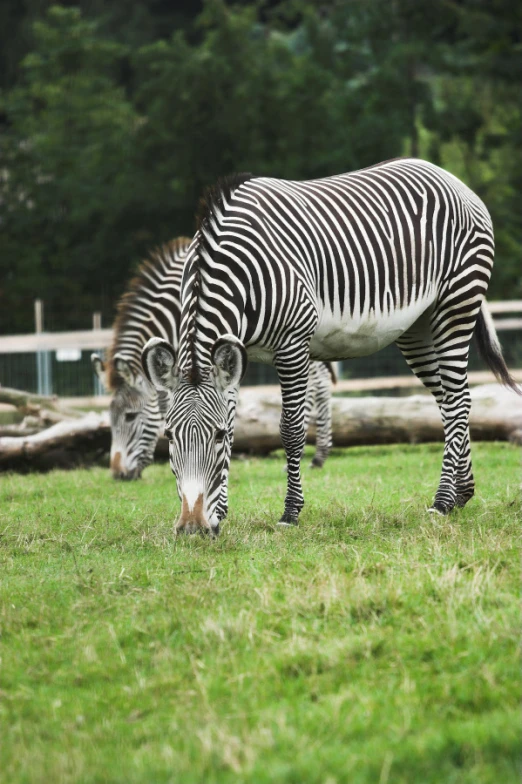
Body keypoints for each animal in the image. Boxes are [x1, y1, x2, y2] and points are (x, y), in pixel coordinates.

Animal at [142, 156, 520, 532]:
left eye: (216, 436)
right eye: (169, 436)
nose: (192, 526)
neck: (236, 272)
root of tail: (448, 176)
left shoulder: (292, 345)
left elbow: (291, 429)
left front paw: (290, 513)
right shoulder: (236, 353)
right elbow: (237, 422)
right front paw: (219, 512)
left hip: (455, 305)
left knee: (458, 401)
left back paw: (442, 502)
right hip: (418, 328)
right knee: (448, 400)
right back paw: (461, 494)